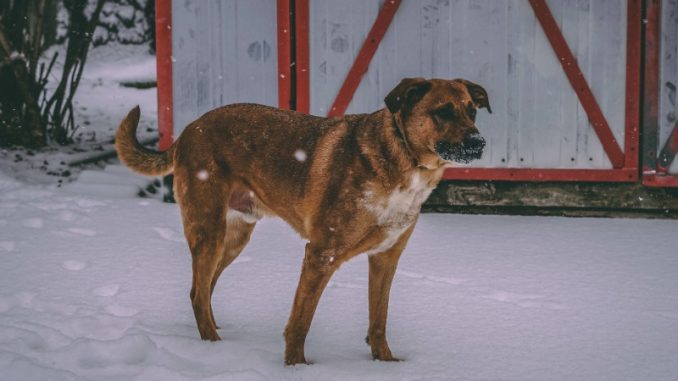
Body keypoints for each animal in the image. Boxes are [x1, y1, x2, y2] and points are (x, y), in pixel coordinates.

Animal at [114, 78, 492, 366]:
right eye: (443, 111)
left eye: (472, 110)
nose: (479, 142)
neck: (405, 162)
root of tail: (188, 130)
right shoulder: (321, 255)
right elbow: (301, 321)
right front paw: (296, 367)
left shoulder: (386, 257)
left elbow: (379, 319)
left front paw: (385, 364)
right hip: (209, 230)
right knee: (197, 292)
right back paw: (215, 349)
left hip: (234, 237)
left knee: (203, 289)